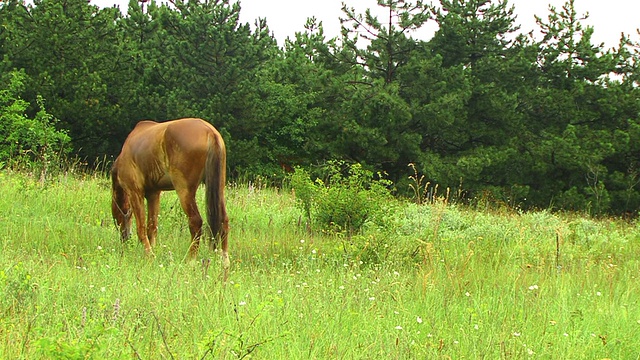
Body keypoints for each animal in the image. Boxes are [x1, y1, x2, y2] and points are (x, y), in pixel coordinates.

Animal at [110, 116, 230, 278]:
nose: (124, 238)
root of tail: (210, 132)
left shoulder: (135, 192)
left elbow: (141, 229)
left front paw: (149, 256)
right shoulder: (153, 194)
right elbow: (152, 227)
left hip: (184, 190)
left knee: (195, 222)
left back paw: (190, 261)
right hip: (218, 188)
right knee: (224, 221)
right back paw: (224, 263)